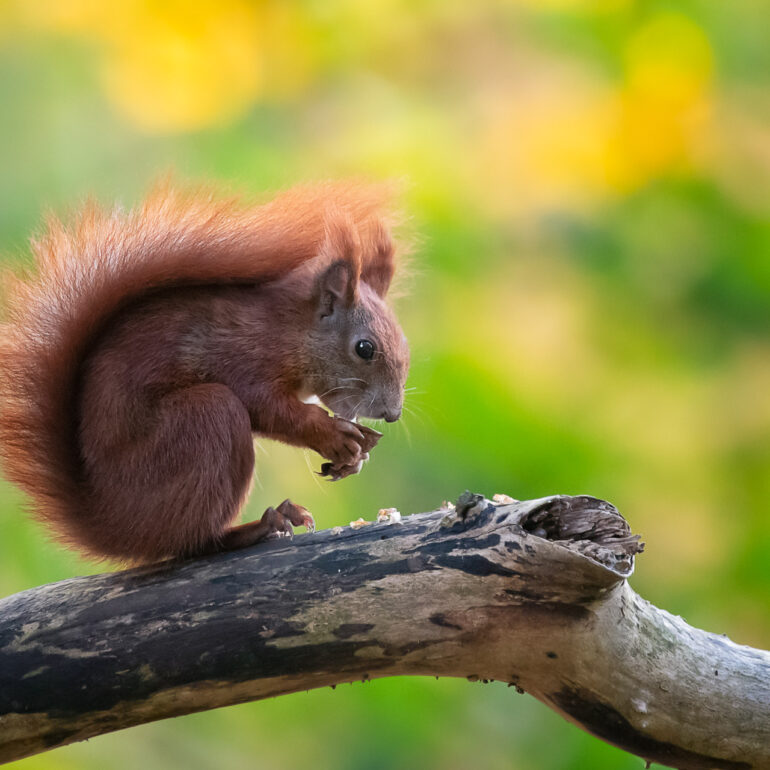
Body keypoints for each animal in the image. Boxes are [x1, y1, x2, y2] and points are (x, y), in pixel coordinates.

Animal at [0, 182, 409, 563]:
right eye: (364, 348)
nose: (392, 414)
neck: (290, 329)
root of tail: (111, 526)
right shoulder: (243, 356)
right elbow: (269, 409)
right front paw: (332, 434)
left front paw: (353, 459)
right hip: (204, 420)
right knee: (195, 541)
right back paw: (263, 524)